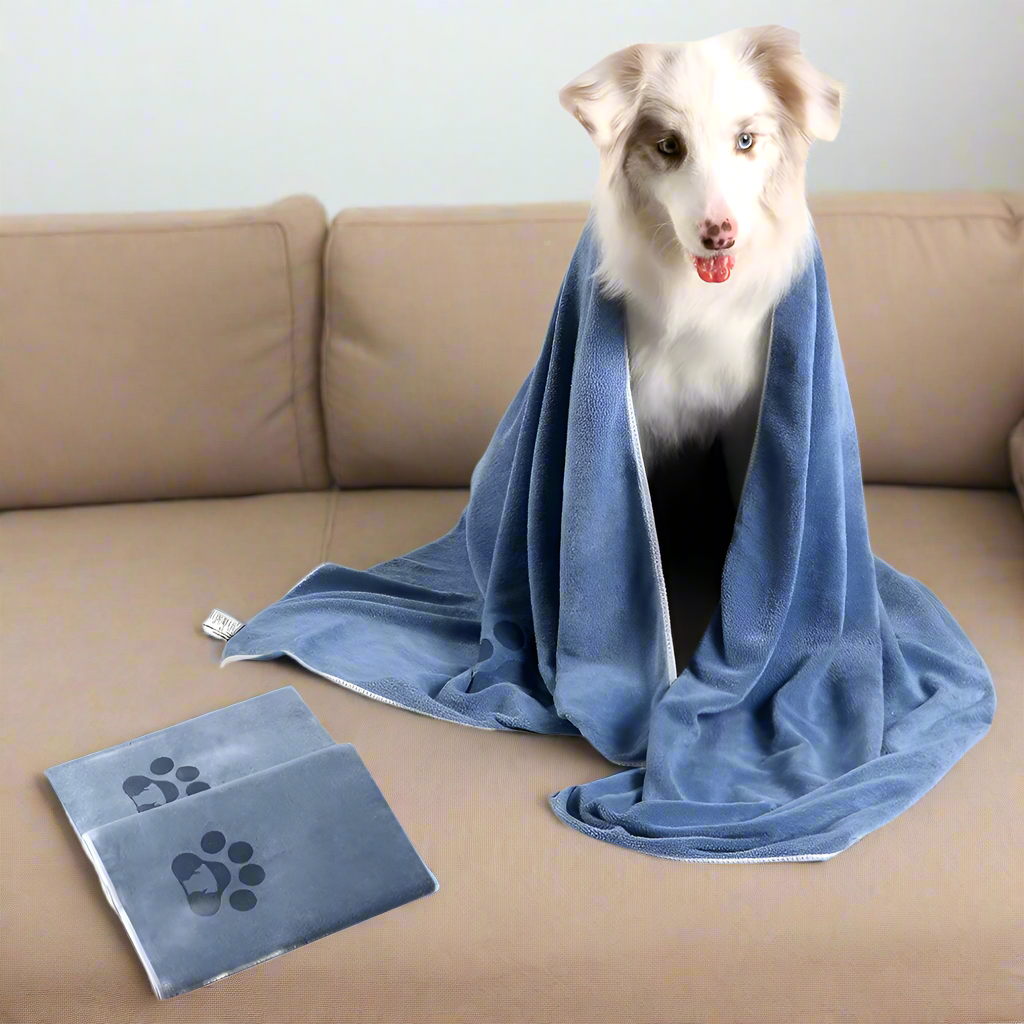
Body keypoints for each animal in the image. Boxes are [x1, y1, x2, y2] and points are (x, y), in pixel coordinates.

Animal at [561, 25, 839, 501]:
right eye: (669, 145)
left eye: (745, 140)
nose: (719, 236)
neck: (697, 298)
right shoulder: (644, 416)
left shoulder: (748, 417)